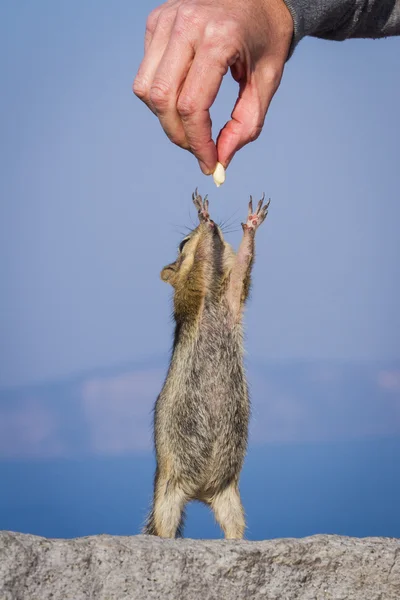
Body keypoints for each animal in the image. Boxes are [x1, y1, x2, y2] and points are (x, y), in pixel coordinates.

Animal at [144, 190, 268, 536]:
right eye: (182, 243)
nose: (213, 228)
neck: (213, 298)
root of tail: (200, 492)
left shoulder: (232, 297)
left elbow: (241, 272)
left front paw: (251, 224)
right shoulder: (191, 294)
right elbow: (194, 274)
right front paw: (204, 216)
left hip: (230, 497)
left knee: (233, 525)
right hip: (167, 496)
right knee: (165, 525)